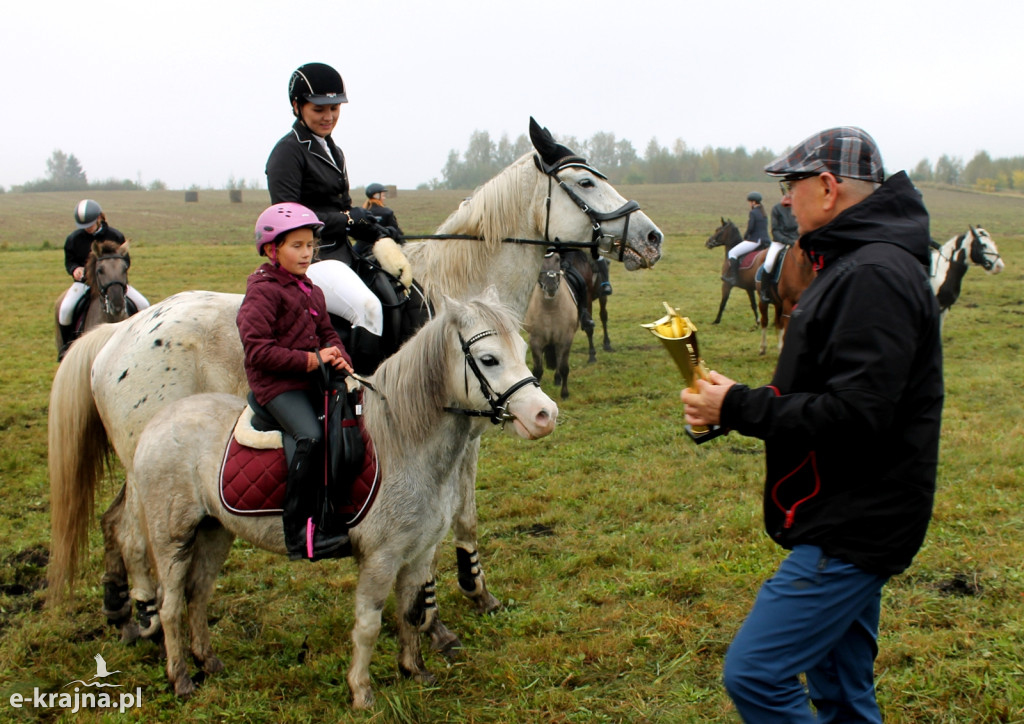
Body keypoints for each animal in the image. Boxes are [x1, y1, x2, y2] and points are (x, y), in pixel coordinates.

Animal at [46, 117, 663, 651]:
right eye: (585, 181)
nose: (652, 236)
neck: (452, 295)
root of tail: (119, 332)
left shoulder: (464, 435)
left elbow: (463, 513)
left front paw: (475, 591)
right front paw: (430, 616)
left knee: (115, 524)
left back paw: (123, 613)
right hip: (152, 457)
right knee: (134, 532)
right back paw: (150, 622)